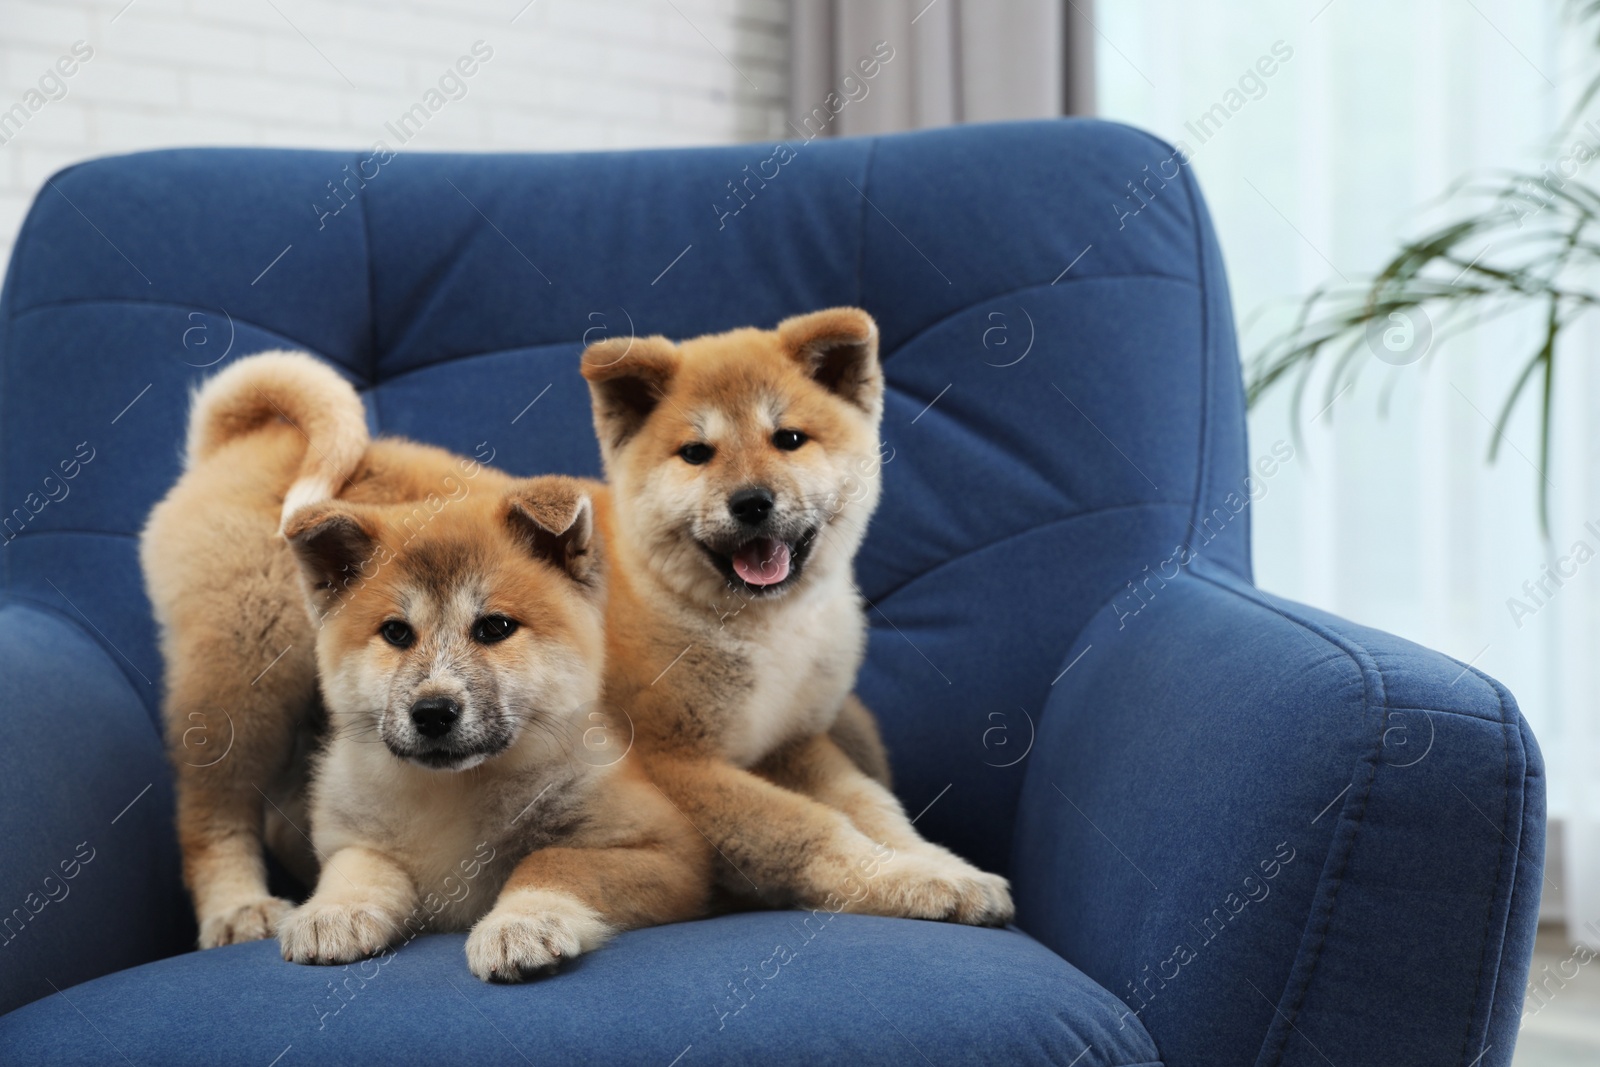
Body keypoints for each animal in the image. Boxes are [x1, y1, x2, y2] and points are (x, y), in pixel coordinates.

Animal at [142, 355, 707, 979]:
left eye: (495, 628)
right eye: (395, 633)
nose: (433, 712)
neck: (452, 793)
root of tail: (244, 446)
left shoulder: (665, 851)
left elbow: (554, 863)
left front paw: (519, 923)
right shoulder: (355, 832)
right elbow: (360, 865)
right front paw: (334, 911)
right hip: (244, 673)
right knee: (212, 813)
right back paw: (238, 907)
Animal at [582, 308, 1011, 927]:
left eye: (788, 439)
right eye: (696, 453)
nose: (751, 501)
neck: (762, 629)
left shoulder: (797, 743)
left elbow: (875, 807)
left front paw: (944, 865)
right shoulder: (675, 764)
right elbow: (810, 827)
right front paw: (918, 881)